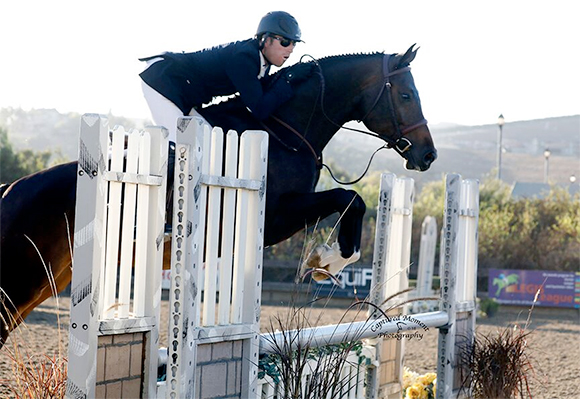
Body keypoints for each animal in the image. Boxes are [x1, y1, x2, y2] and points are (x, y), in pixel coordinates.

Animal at [0, 45, 436, 348]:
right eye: (406, 96)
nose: (428, 155)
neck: (285, 131)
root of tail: (11, 190)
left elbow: (350, 200)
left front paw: (325, 262)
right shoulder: (274, 218)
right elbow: (349, 199)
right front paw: (326, 261)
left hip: (51, 279)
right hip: (22, 280)